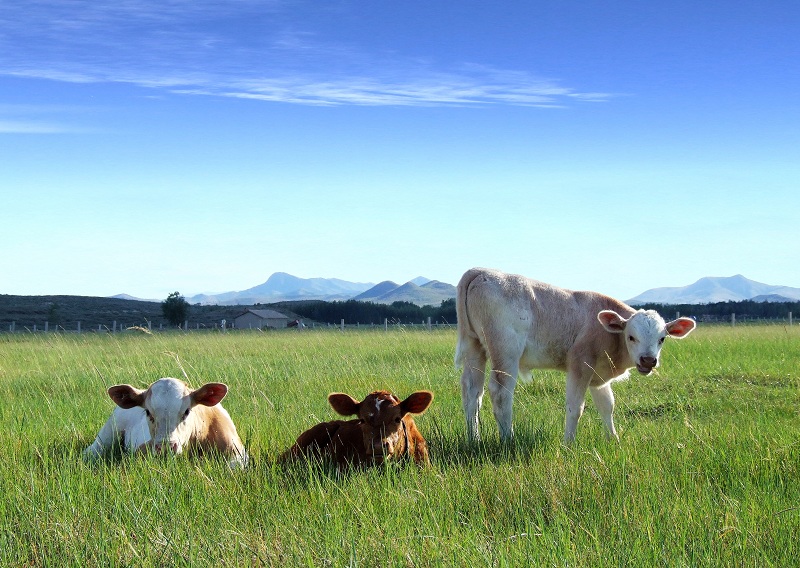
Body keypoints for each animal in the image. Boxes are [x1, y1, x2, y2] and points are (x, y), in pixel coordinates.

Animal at [454, 268, 696, 444]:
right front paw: (569, 443)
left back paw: (474, 439)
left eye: (662, 338)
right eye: (631, 337)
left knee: (472, 393)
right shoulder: (580, 365)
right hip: (506, 352)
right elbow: (575, 407)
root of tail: (480, 271)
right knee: (500, 393)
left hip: (475, 348)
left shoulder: (599, 377)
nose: (648, 360)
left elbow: (607, 405)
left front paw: (613, 440)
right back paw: (508, 440)